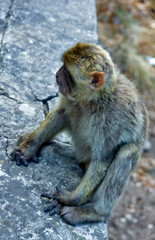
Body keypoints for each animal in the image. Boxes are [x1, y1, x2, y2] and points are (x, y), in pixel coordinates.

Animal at [10, 42, 149, 224]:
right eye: (62, 66)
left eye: (67, 72)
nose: (57, 74)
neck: (93, 101)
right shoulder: (71, 100)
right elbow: (60, 114)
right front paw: (28, 149)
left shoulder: (112, 122)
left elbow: (102, 161)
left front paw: (69, 199)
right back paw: (28, 138)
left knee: (128, 151)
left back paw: (92, 212)